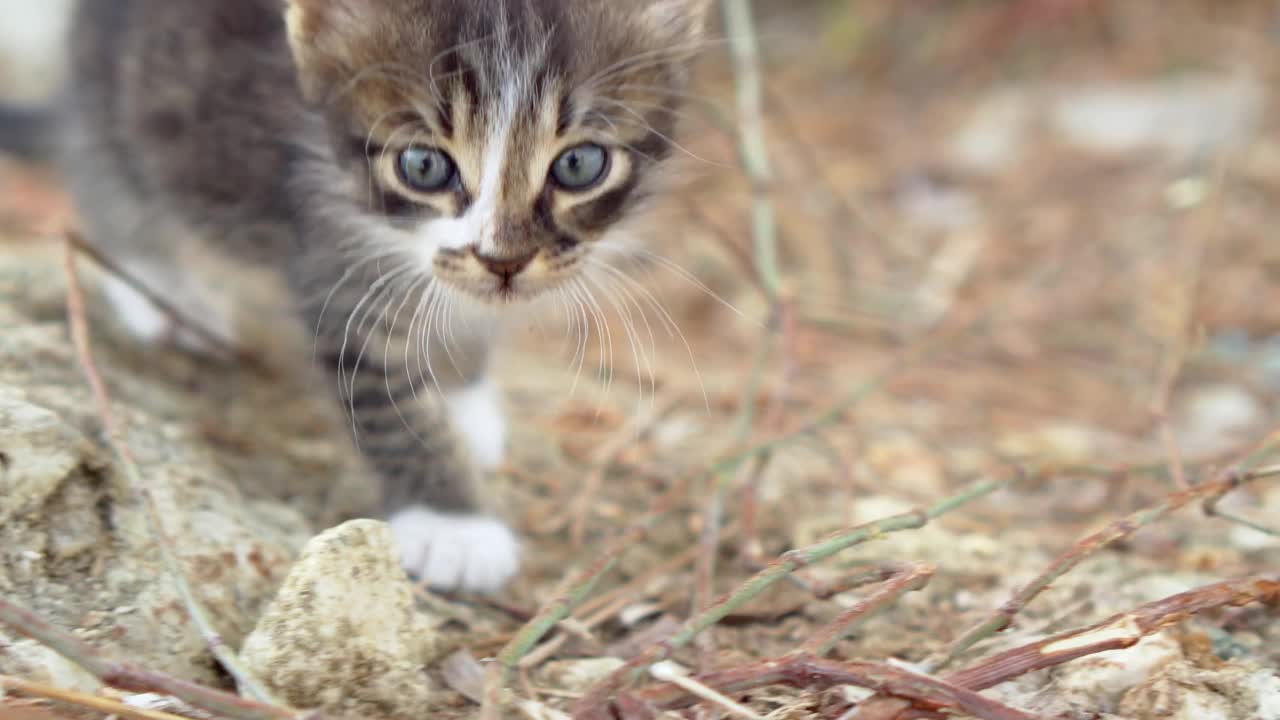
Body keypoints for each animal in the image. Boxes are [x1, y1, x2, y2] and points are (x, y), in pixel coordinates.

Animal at [62, 0, 711, 591]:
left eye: (580, 163)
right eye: (423, 165)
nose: (503, 260)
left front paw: (462, 399)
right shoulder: (336, 264)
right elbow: (393, 407)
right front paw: (454, 527)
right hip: (111, 100)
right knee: (113, 188)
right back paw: (159, 292)